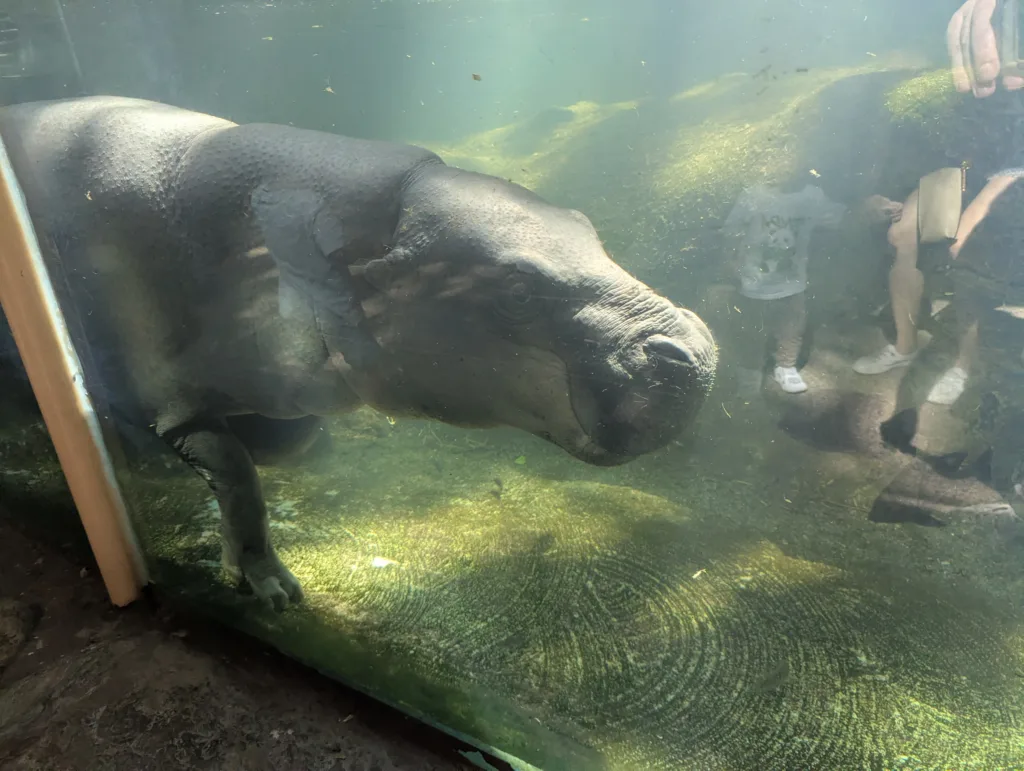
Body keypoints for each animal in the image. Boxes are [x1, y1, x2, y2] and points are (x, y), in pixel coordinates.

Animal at [0, 96, 717, 610]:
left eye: (585, 226)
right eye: (515, 290)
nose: (692, 351)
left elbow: (276, 451)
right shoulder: (169, 402)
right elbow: (237, 475)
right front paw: (275, 592)